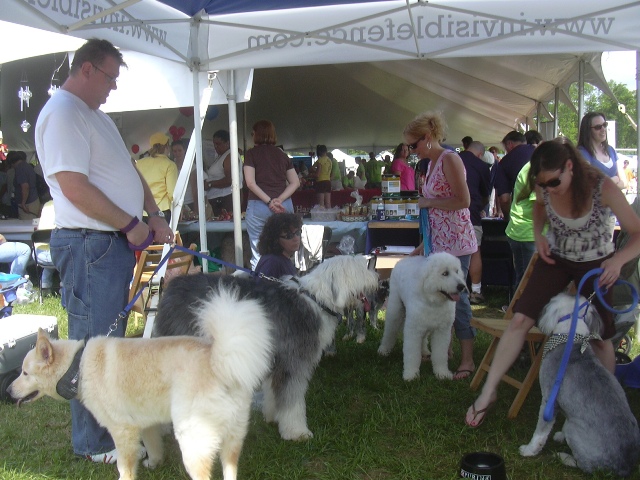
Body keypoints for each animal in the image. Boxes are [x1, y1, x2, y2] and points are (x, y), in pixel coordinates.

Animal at [151, 256, 380, 440]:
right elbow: (293, 400)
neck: (317, 300)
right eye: (362, 268)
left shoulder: (276, 360)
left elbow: (274, 392)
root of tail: (172, 287)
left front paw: (272, 417)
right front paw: (297, 433)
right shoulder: (293, 363)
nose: (378, 279)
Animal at [520, 292, 640, 476]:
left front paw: (528, 450)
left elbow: (540, 432)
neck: (570, 339)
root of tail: (624, 467)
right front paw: (560, 434)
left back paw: (564, 457)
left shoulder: (548, 400)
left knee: (584, 466)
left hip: (578, 438)